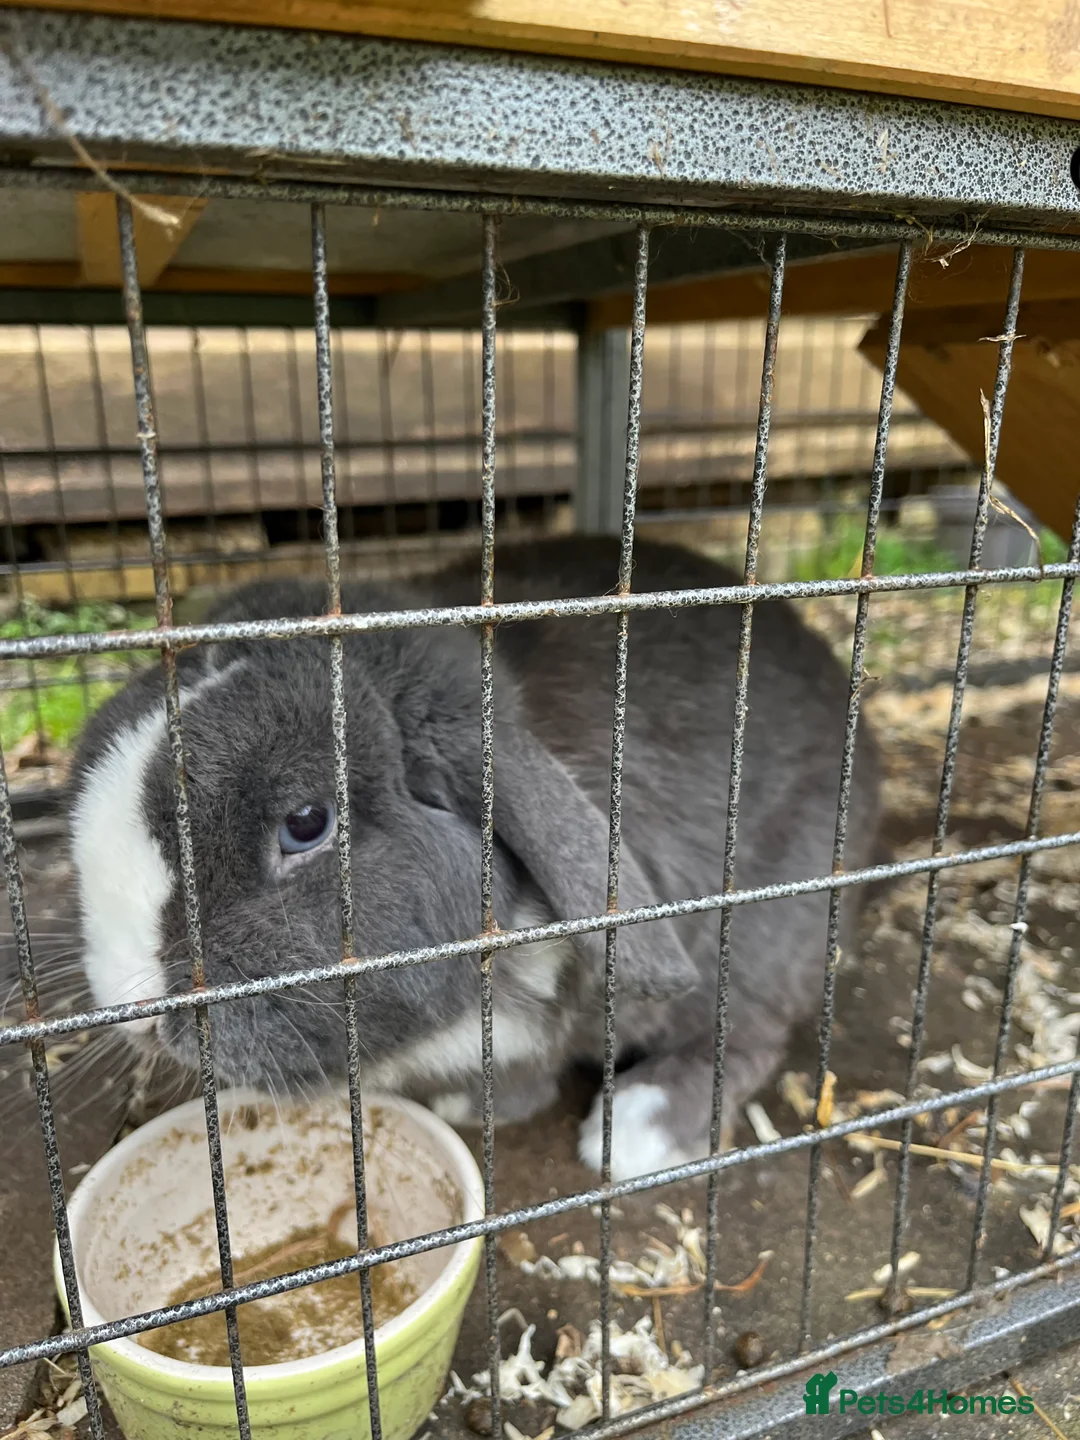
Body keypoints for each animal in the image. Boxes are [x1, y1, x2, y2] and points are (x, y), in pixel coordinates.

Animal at [69, 537, 880, 1182]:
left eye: (305, 824)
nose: (136, 1016)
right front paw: (469, 1103)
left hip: (767, 934)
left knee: (746, 1033)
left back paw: (638, 1133)